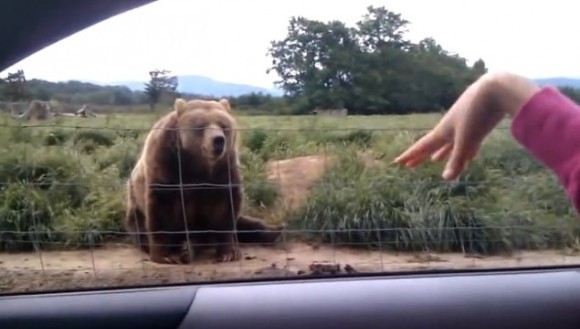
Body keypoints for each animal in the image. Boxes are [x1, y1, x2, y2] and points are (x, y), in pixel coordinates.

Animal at [124, 96, 284, 264]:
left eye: (224, 125)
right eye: (200, 125)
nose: (218, 140)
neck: (198, 164)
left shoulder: (223, 171)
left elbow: (225, 210)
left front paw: (228, 253)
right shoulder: (165, 166)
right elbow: (161, 211)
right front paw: (165, 255)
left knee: (243, 223)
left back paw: (275, 230)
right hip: (134, 206)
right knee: (139, 227)